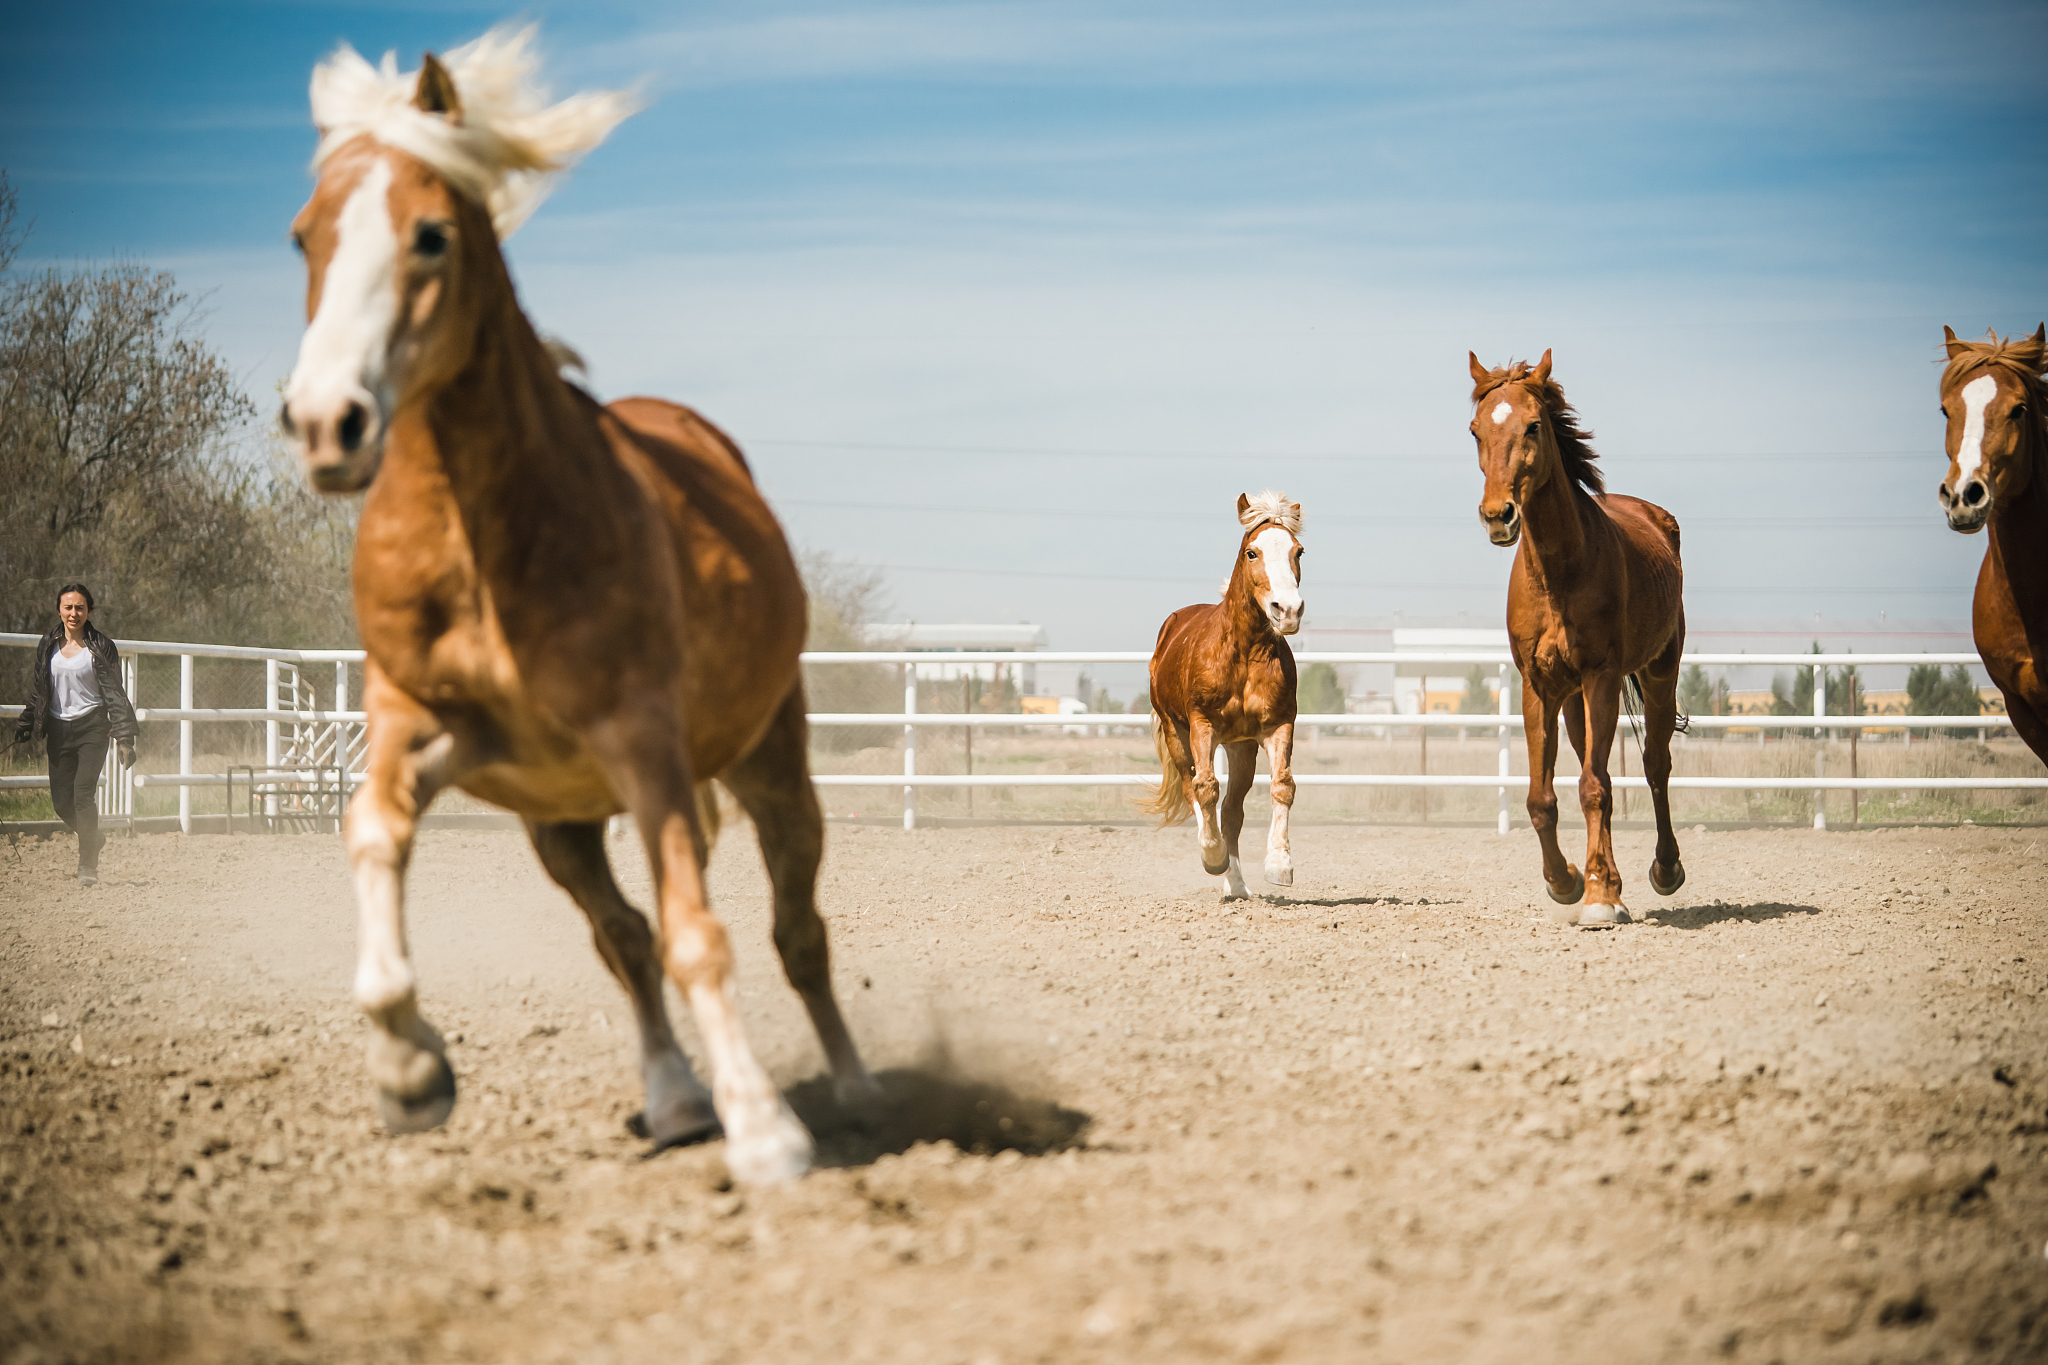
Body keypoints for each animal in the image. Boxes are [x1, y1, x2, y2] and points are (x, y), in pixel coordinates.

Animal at [278, 29, 876, 1184]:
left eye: (430, 234)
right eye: (303, 238)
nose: (328, 422)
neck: (484, 540)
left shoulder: (644, 746)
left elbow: (702, 935)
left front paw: (767, 1131)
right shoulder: (434, 732)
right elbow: (371, 830)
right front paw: (410, 1072)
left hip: (768, 768)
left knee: (795, 934)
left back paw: (851, 1085)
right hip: (561, 824)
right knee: (624, 936)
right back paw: (677, 1097)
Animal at [1141, 492, 1303, 901]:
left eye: (1298, 551)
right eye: (1252, 552)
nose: (1288, 610)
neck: (1243, 654)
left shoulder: (1278, 725)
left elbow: (1282, 786)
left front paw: (1279, 865)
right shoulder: (1202, 725)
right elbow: (1205, 788)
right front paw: (1212, 857)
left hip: (1240, 747)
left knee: (1231, 812)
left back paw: (1237, 884)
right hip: (1177, 732)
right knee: (1192, 788)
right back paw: (1215, 857)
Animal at [1468, 350, 1686, 927]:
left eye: (1533, 426)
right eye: (1475, 430)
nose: (1498, 516)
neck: (1560, 572)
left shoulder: (1602, 676)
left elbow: (1595, 787)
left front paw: (1599, 896)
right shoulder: (1539, 687)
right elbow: (1542, 798)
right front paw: (1567, 882)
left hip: (1659, 674)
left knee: (1654, 765)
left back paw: (1663, 869)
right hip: (1574, 704)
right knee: (1599, 767)